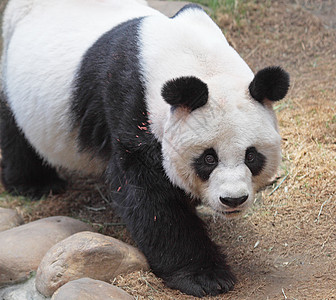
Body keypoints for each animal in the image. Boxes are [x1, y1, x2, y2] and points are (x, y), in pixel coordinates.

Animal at [0, 0, 288, 296]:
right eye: (209, 158)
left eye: (252, 156)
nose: (233, 199)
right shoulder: (128, 101)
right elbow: (146, 192)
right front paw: (204, 276)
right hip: (13, 72)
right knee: (16, 129)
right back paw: (35, 184)